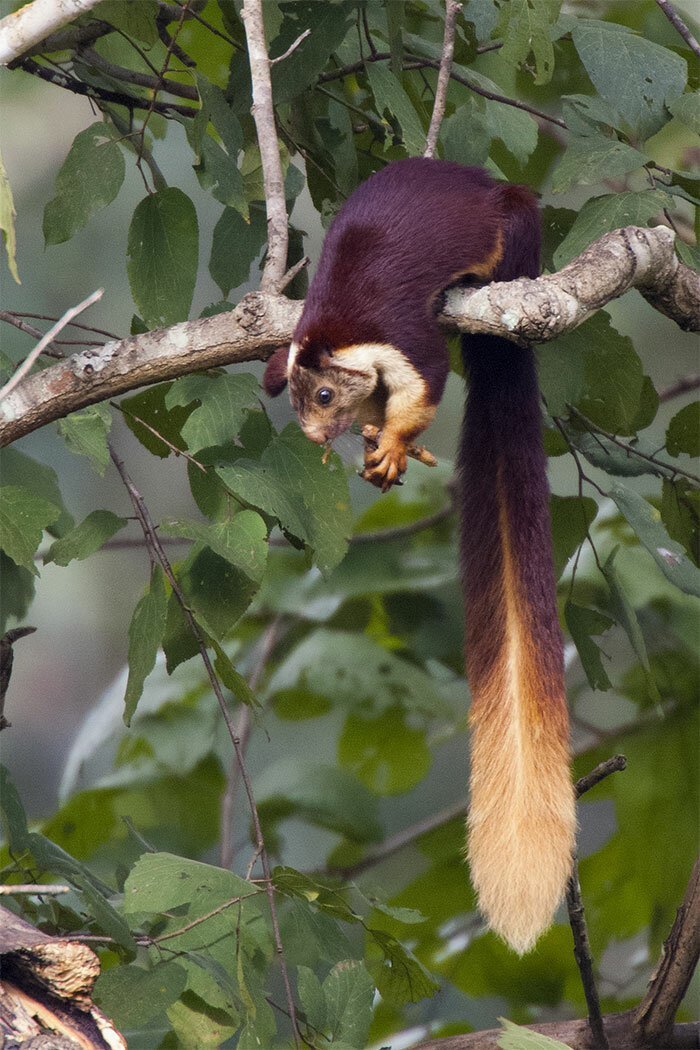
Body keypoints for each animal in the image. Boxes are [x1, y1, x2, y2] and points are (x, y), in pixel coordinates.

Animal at [262, 159, 575, 957]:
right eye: (299, 406)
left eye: (324, 394)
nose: (318, 437)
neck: (336, 327)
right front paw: (380, 444)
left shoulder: (404, 342)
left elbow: (425, 384)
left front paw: (396, 442)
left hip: (514, 227)